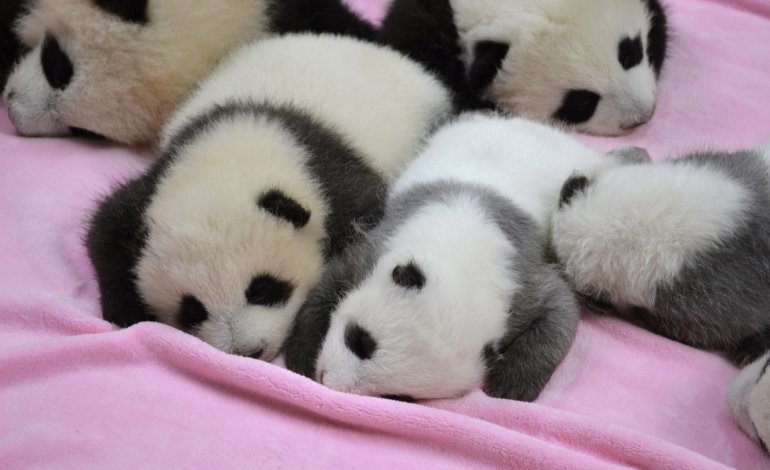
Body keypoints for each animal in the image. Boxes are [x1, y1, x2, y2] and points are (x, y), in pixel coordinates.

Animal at [86, 33, 452, 361]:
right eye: (192, 309)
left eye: (263, 288)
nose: (249, 351)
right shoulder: (162, 174)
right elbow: (106, 227)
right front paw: (128, 310)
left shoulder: (333, 180)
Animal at [283, 114, 643, 401]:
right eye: (359, 339)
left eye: (398, 397)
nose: (328, 381)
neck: (459, 248)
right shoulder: (380, 244)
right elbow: (333, 280)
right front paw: (301, 353)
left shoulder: (521, 279)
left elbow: (561, 310)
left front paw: (511, 384)